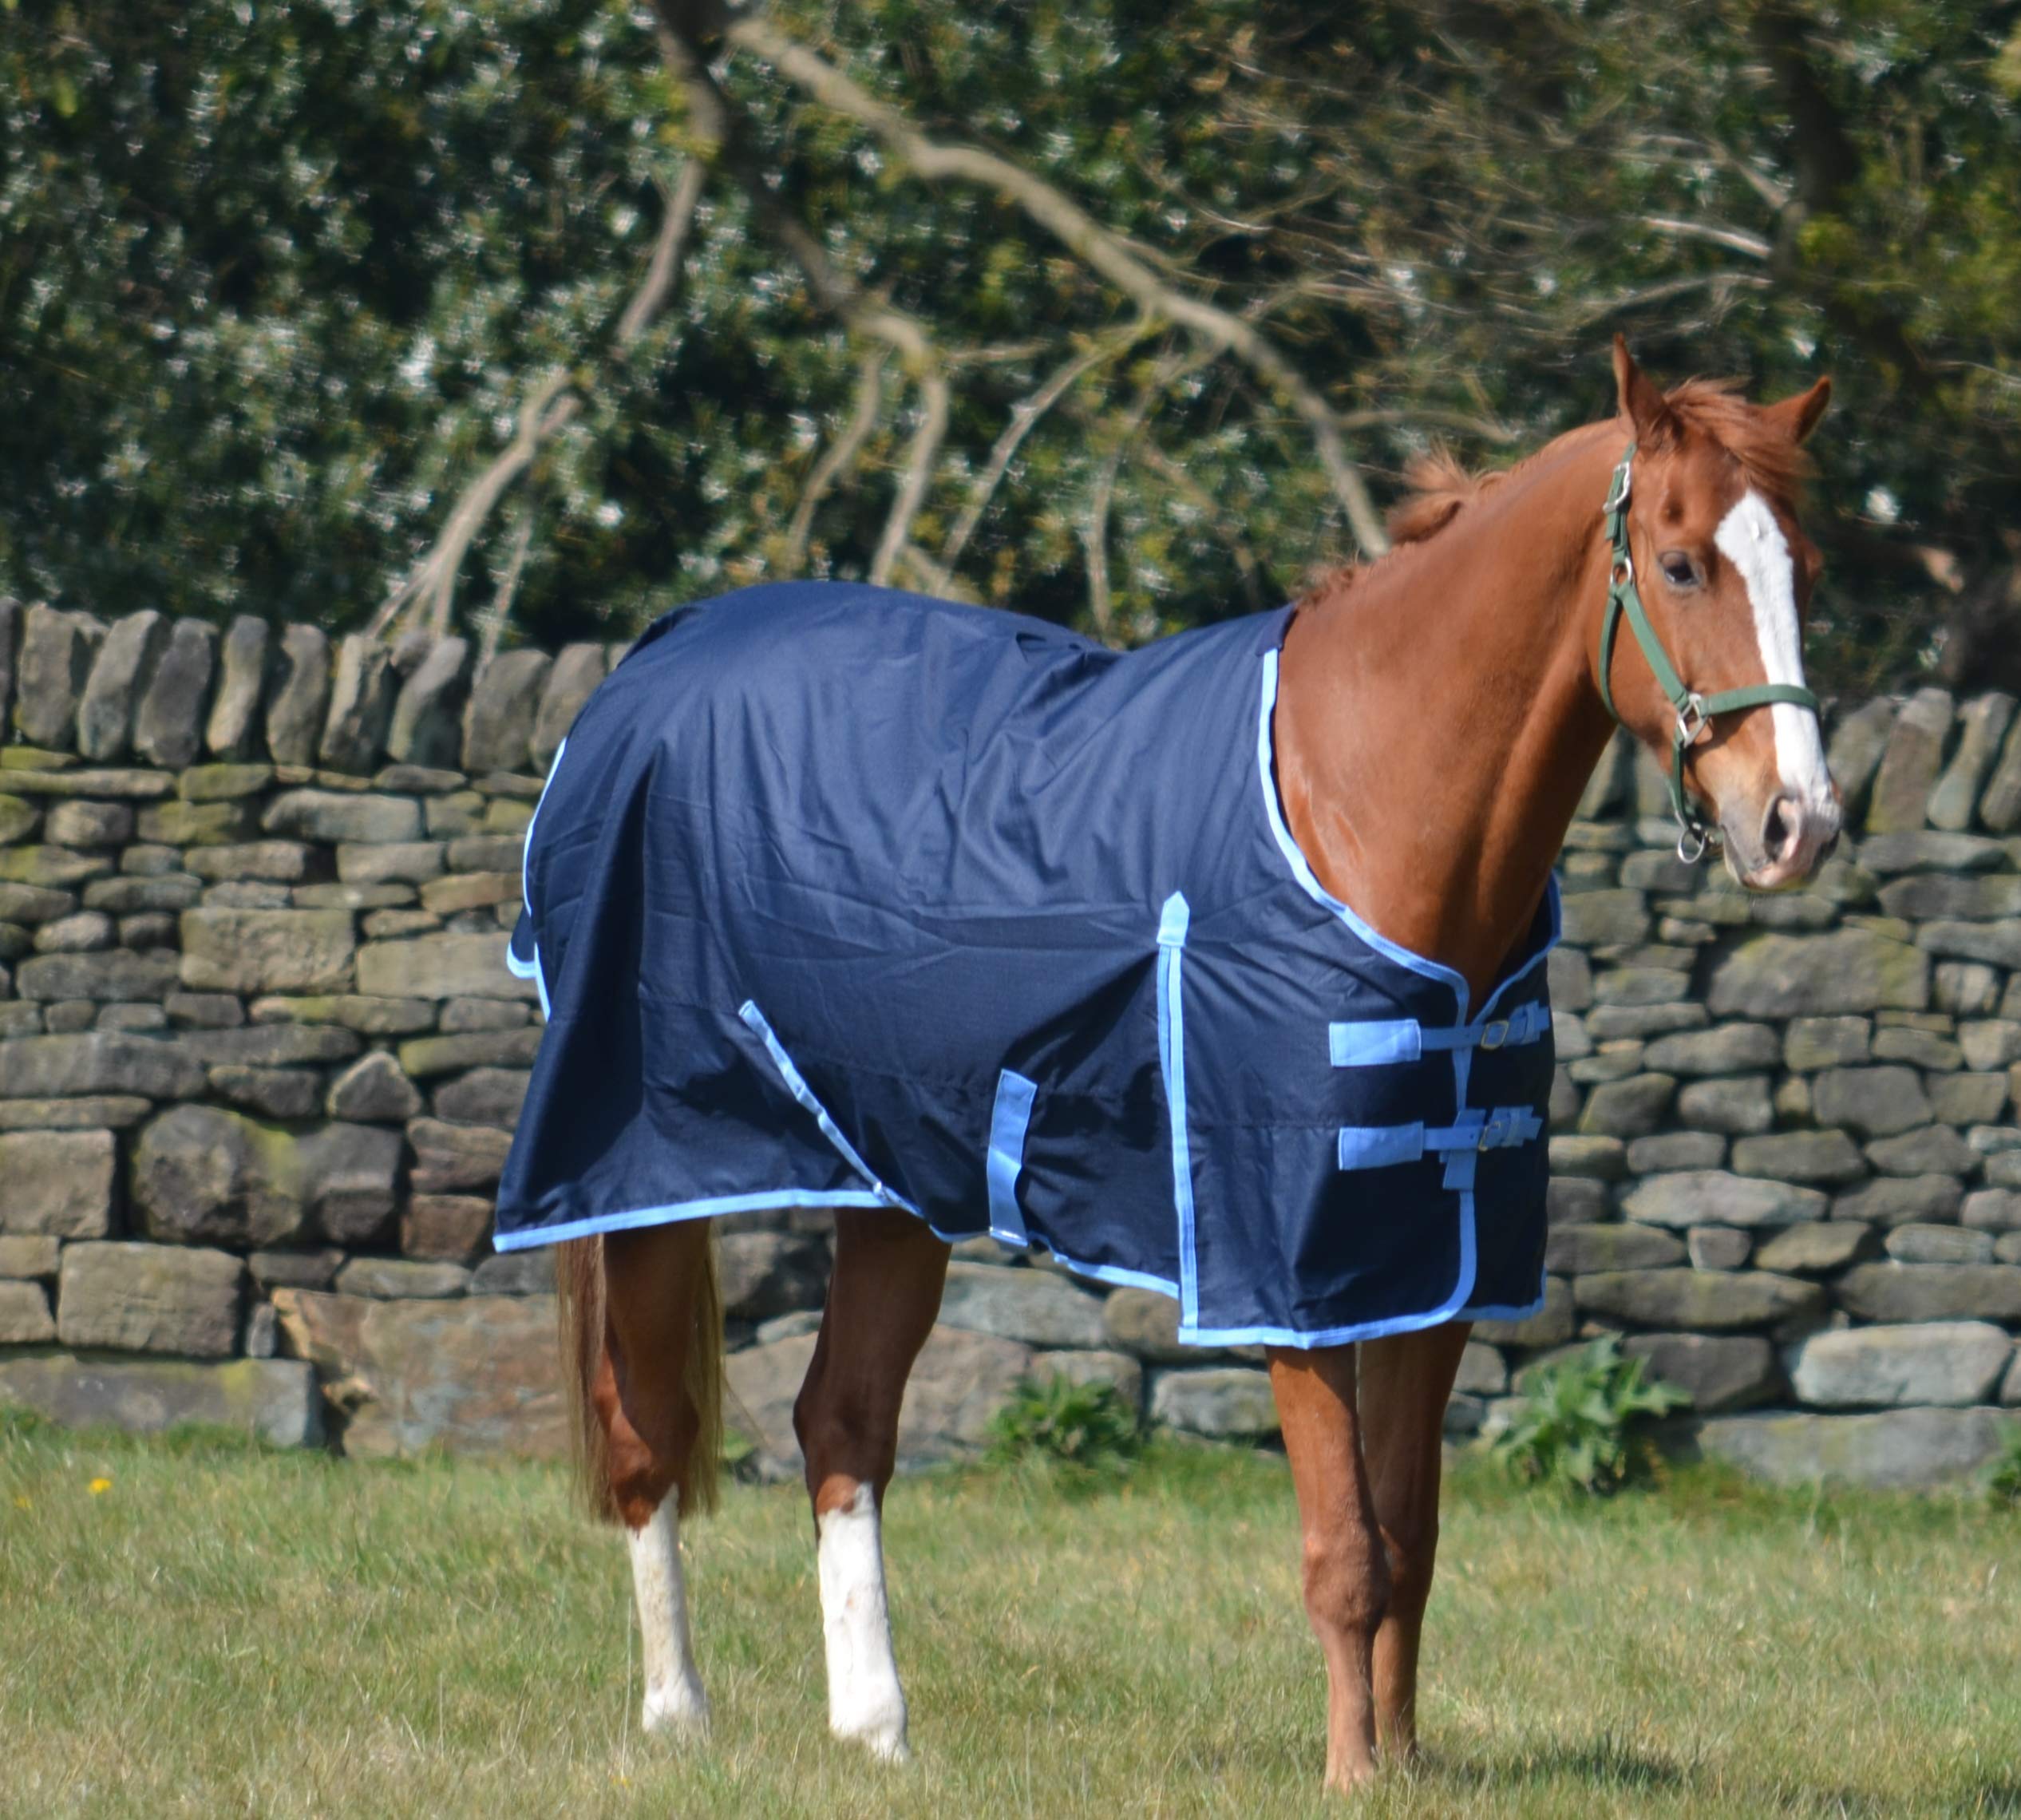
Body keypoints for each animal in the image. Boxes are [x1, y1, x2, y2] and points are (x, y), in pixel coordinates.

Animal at [492, 337, 1841, 1793]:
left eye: (1807, 569)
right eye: (1682, 564)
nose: (1798, 825)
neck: (1364, 801)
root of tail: (653, 662)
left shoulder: (1437, 1263)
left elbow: (1413, 1540)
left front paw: (1406, 1767)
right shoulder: (1288, 1271)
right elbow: (1347, 1552)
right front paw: (1351, 1779)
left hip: (895, 1181)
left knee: (840, 1427)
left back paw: (878, 1729)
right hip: (645, 1170)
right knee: (649, 1433)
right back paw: (677, 1714)